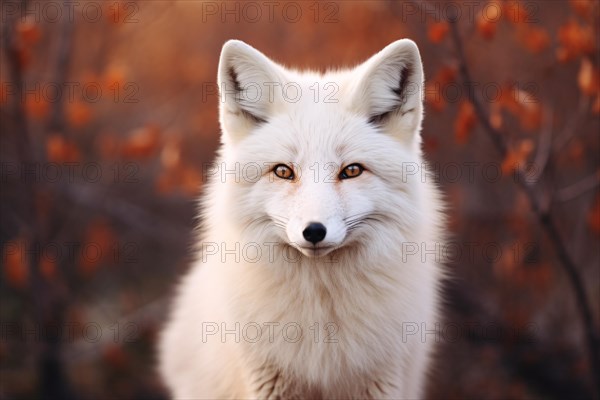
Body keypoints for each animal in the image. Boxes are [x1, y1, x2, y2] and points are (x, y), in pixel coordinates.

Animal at [158, 38, 446, 400]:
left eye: (351, 171)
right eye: (283, 171)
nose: (314, 231)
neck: (321, 319)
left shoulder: (380, 378)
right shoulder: (267, 378)